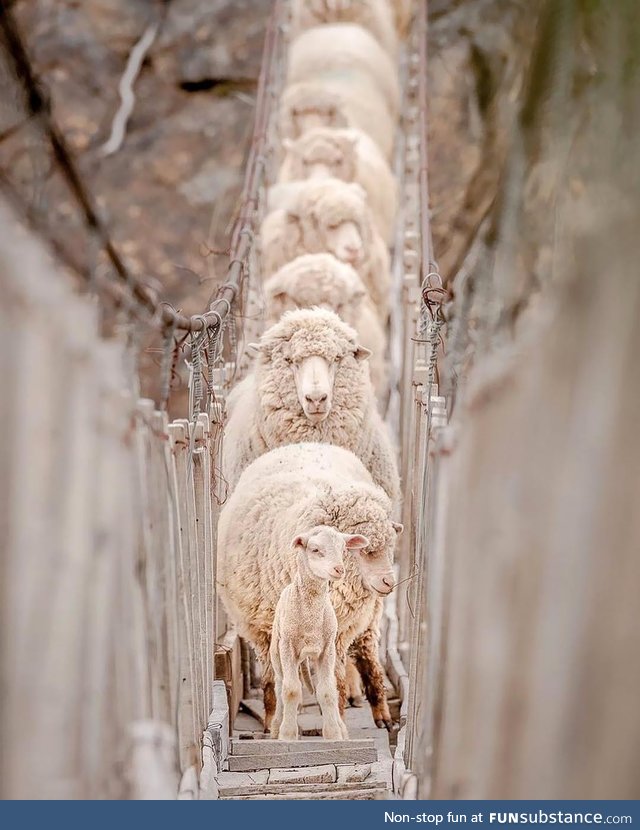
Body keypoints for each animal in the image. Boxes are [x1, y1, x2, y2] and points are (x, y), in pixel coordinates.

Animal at [268, 528, 368, 740]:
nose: (339, 569)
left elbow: (328, 691)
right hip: (276, 652)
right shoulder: (288, 647)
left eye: (343, 549)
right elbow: (291, 690)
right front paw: (287, 734)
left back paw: (341, 727)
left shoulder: (327, 649)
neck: (310, 621)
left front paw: (333, 733)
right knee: (279, 684)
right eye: (315, 550)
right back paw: (276, 726)